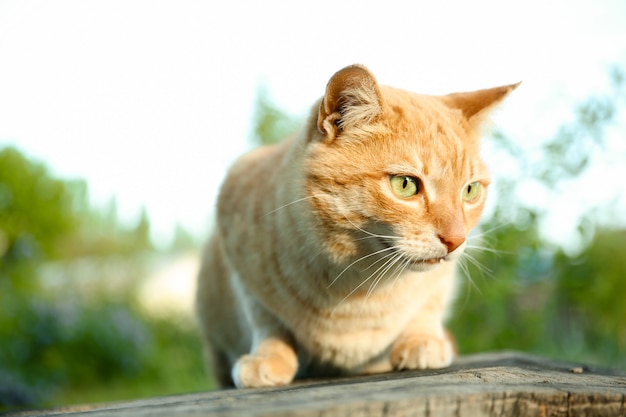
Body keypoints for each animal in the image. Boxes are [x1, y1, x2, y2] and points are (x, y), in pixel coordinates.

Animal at [196, 64, 516, 386]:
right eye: (405, 185)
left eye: (470, 191)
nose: (456, 240)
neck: (358, 283)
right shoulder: (241, 263)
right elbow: (267, 320)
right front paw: (269, 357)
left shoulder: (441, 280)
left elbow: (428, 306)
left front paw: (422, 341)